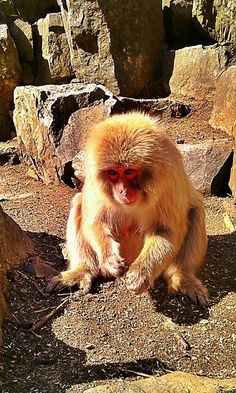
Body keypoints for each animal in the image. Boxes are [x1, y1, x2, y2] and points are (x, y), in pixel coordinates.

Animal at [46, 111, 208, 306]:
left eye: (129, 171)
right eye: (113, 173)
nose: (122, 191)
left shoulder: (168, 177)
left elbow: (166, 230)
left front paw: (142, 273)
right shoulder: (93, 176)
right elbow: (94, 221)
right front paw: (109, 259)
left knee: (196, 208)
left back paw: (183, 277)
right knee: (78, 203)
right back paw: (84, 270)